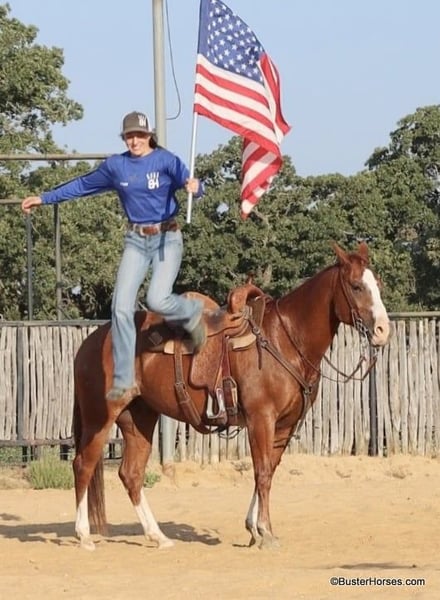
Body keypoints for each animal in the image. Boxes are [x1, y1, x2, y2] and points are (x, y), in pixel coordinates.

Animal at [72, 241, 390, 551]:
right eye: (356, 286)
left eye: (377, 284)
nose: (382, 330)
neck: (284, 339)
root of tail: (90, 341)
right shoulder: (261, 419)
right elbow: (262, 472)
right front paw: (265, 532)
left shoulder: (285, 425)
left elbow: (269, 470)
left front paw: (254, 529)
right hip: (100, 416)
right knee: (83, 464)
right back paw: (84, 535)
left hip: (138, 418)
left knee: (131, 474)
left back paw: (158, 536)